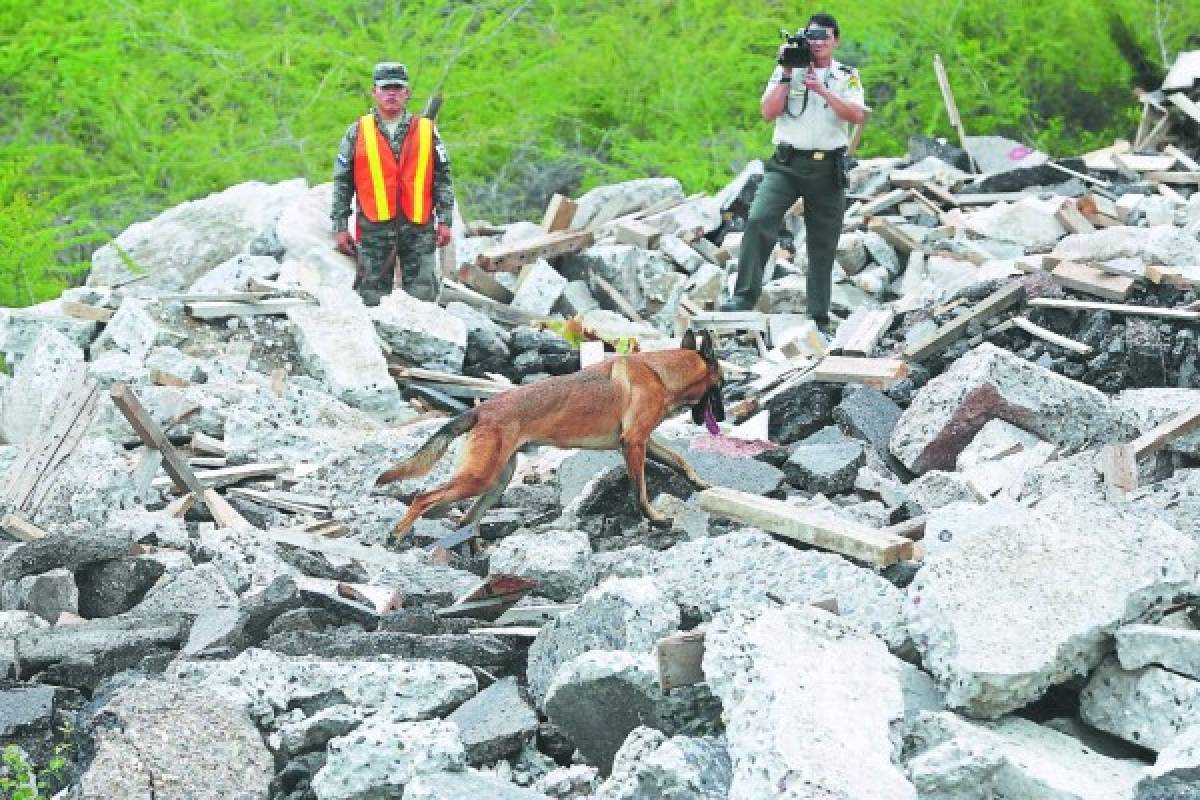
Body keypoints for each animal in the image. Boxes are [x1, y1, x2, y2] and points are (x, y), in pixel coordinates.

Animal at [379, 328, 724, 542]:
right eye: (720, 385)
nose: (721, 417)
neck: (661, 373)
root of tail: (481, 410)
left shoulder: (643, 442)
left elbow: (679, 459)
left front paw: (700, 483)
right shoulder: (634, 443)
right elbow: (640, 491)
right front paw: (654, 518)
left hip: (496, 482)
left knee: (465, 521)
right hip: (478, 479)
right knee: (424, 498)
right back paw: (397, 534)